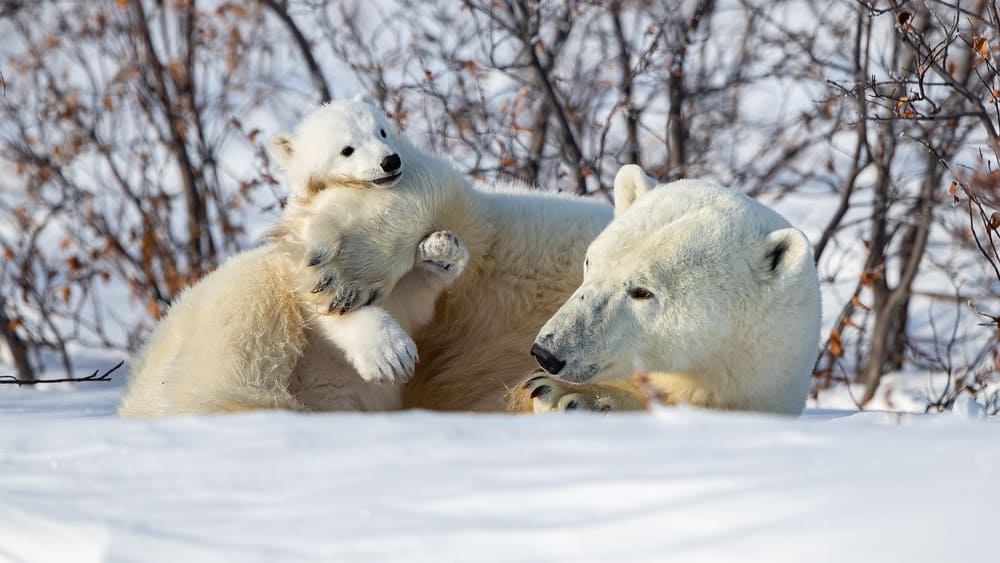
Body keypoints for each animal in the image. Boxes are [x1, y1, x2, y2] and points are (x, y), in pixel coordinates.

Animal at [116, 97, 468, 416]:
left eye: (382, 131)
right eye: (347, 149)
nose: (390, 161)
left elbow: (411, 299)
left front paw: (441, 252)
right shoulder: (296, 259)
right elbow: (321, 300)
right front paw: (390, 353)